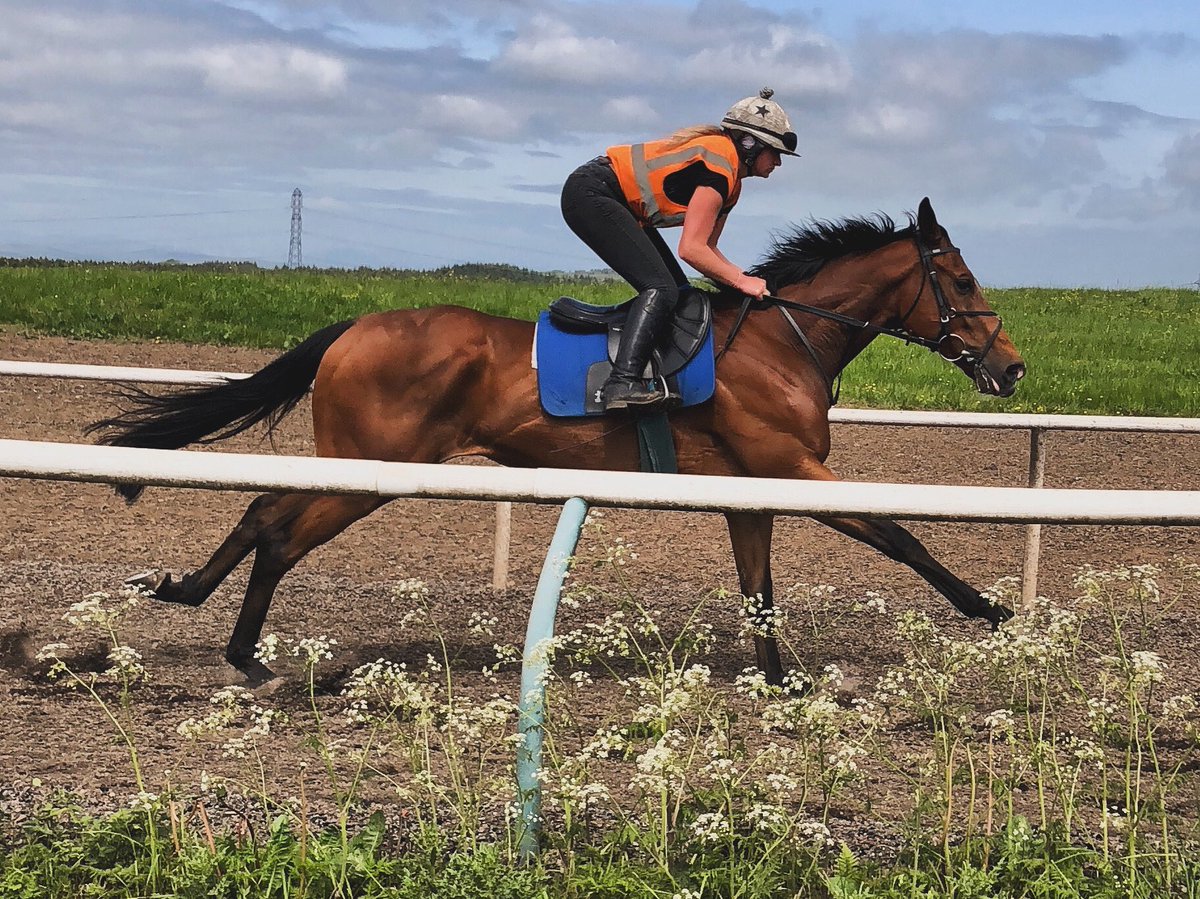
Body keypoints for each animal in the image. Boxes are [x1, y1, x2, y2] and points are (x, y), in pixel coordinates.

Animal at [88, 200, 1022, 681]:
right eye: (964, 278)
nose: (1011, 367)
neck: (783, 338)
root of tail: (355, 326)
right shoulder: (792, 467)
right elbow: (899, 533)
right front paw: (990, 608)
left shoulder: (750, 487)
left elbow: (759, 586)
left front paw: (778, 679)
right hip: (379, 465)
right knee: (280, 531)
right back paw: (245, 654)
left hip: (362, 461)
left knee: (260, 509)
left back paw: (197, 604)